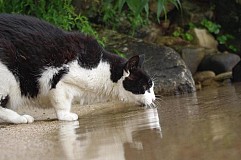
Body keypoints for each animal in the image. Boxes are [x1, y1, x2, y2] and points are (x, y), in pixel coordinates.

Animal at [0, 13, 155, 124]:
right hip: (7, 77)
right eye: (145, 87)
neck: (104, 70)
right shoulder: (58, 79)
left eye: (151, 87)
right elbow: (61, 102)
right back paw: (21, 118)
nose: (154, 98)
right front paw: (65, 116)